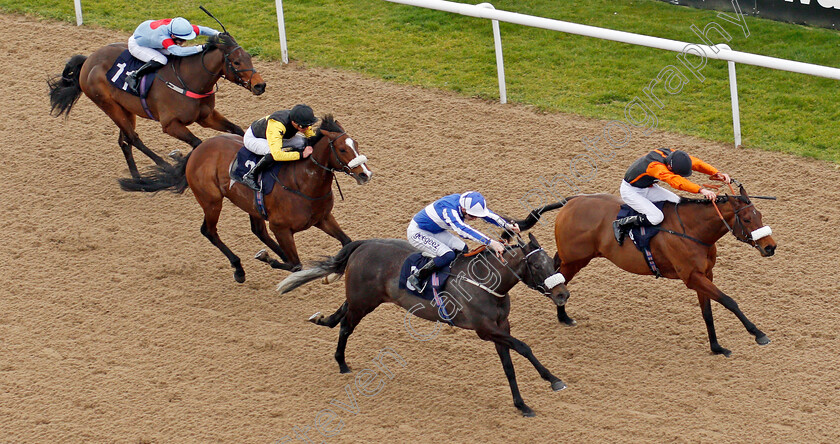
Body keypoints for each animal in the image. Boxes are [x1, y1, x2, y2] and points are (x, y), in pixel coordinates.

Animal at [47, 33, 264, 177]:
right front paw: (178, 160)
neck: (189, 79)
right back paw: (163, 165)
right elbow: (197, 143)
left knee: (124, 141)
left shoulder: (206, 116)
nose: (260, 85)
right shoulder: (170, 124)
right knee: (133, 138)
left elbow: (237, 129)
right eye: (236, 62)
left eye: (249, 58)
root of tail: (87, 60)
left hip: (126, 108)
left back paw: (137, 179)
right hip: (108, 105)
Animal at [117, 114, 370, 280]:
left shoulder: (323, 218)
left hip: (251, 205)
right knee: (209, 231)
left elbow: (347, 242)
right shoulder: (281, 228)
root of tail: (198, 149)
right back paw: (239, 269)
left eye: (356, 144)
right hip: (211, 201)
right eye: (343, 149)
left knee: (258, 230)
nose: (365, 174)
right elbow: (296, 265)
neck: (303, 183)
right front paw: (268, 259)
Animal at [276, 234, 572, 418]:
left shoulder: (502, 328)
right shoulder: (486, 330)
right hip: (364, 302)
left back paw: (321, 320)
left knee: (340, 316)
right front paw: (553, 380)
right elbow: (524, 347)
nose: (562, 295)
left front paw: (522, 405)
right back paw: (341, 362)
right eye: (537, 265)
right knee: (345, 327)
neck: (486, 282)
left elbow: (509, 367)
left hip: (361, 299)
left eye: (552, 261)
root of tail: (363, 244)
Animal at [516, 184, 776, 358]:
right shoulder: (692, 277)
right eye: (746, 219)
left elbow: (708, 312)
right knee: (559, 280)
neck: (692, 231)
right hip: (575, 259)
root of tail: (571, 201)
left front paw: (716, 347)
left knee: (556, 270)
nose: (770, 247)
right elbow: (729, 301)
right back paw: (562, 315)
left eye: (760, 215)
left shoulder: (705, 274)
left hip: (575, 257)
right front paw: (758, 334)